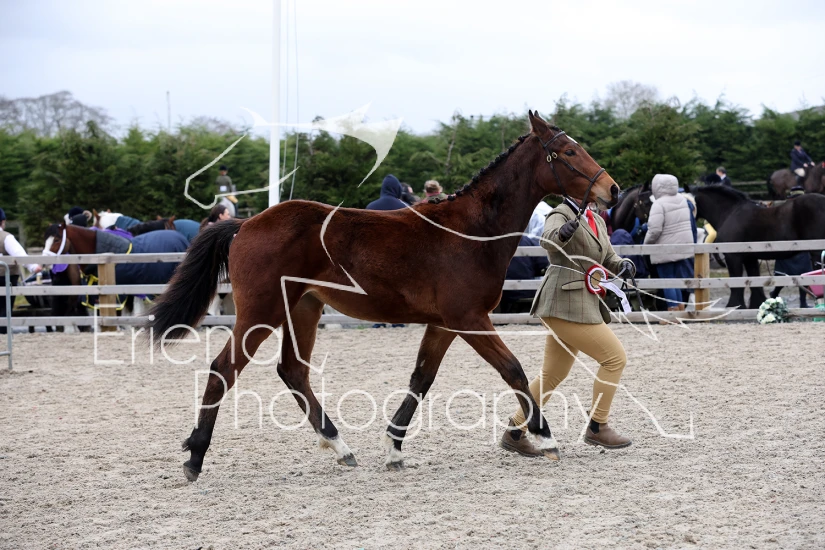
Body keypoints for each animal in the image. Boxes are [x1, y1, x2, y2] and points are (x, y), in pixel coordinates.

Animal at [144, 111, 620, 481]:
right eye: (568, 152)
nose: (611, 189)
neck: (471, 232)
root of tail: (244, 223)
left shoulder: (444, 323)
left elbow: (421, 379)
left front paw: (393, 448)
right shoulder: (469, 318)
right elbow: (514, 371)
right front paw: (545, 437)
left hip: (304, 309)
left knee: (293, 371)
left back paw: (340, 447)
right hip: (261, 312)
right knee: (223, 369)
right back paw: (195, 455)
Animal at [689, 184, 825, 309]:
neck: (730, 212)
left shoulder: (733, 257)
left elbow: (736, 282)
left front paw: (735, 306)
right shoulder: (750, 258)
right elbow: (753, 281)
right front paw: (757, 304)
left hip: (817, 252)